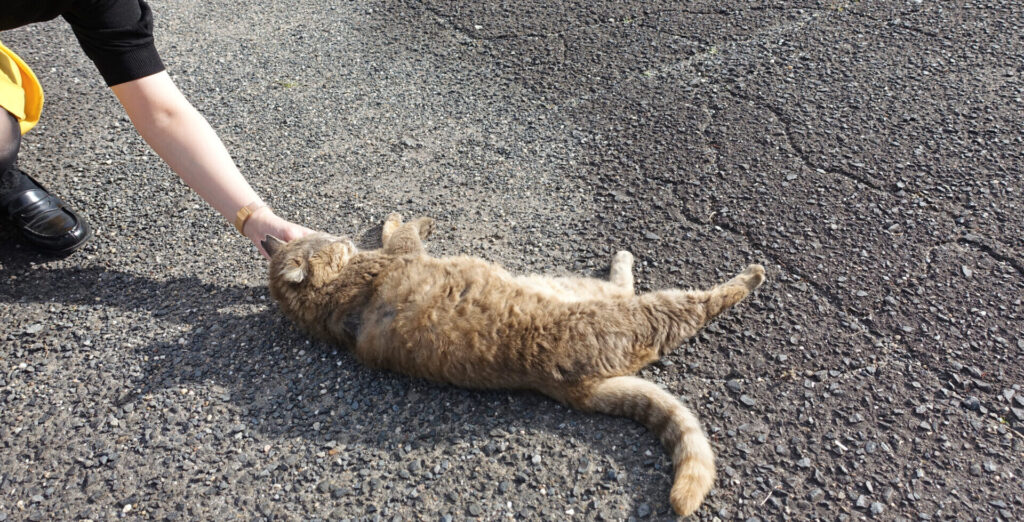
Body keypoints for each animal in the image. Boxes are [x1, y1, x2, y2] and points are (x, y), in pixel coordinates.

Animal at [260, 213, 765, 515]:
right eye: (326, 243)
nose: (342, 236)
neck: (330, 302)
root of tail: (574, 388)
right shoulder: (400, 257)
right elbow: (402, 233)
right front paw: (405, 218)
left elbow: (393, 233)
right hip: (626, 312)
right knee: (687, 304)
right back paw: (744, 278)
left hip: (577, 288)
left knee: (623, 287)